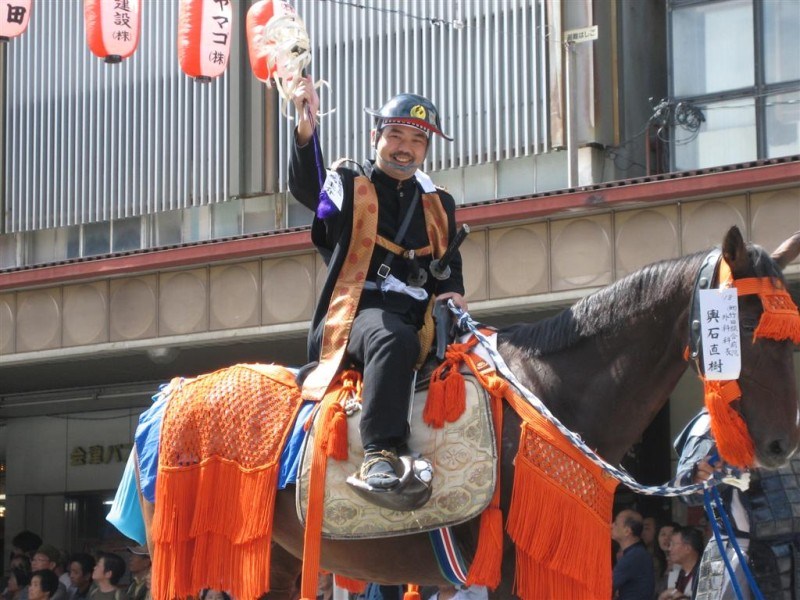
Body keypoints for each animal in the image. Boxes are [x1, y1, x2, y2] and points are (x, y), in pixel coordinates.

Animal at [136, 226, 800, 600]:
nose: (780, 446)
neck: (552, 398)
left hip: (268, 558)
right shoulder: (510, 569)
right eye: (742, 323)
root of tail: (170, 394)